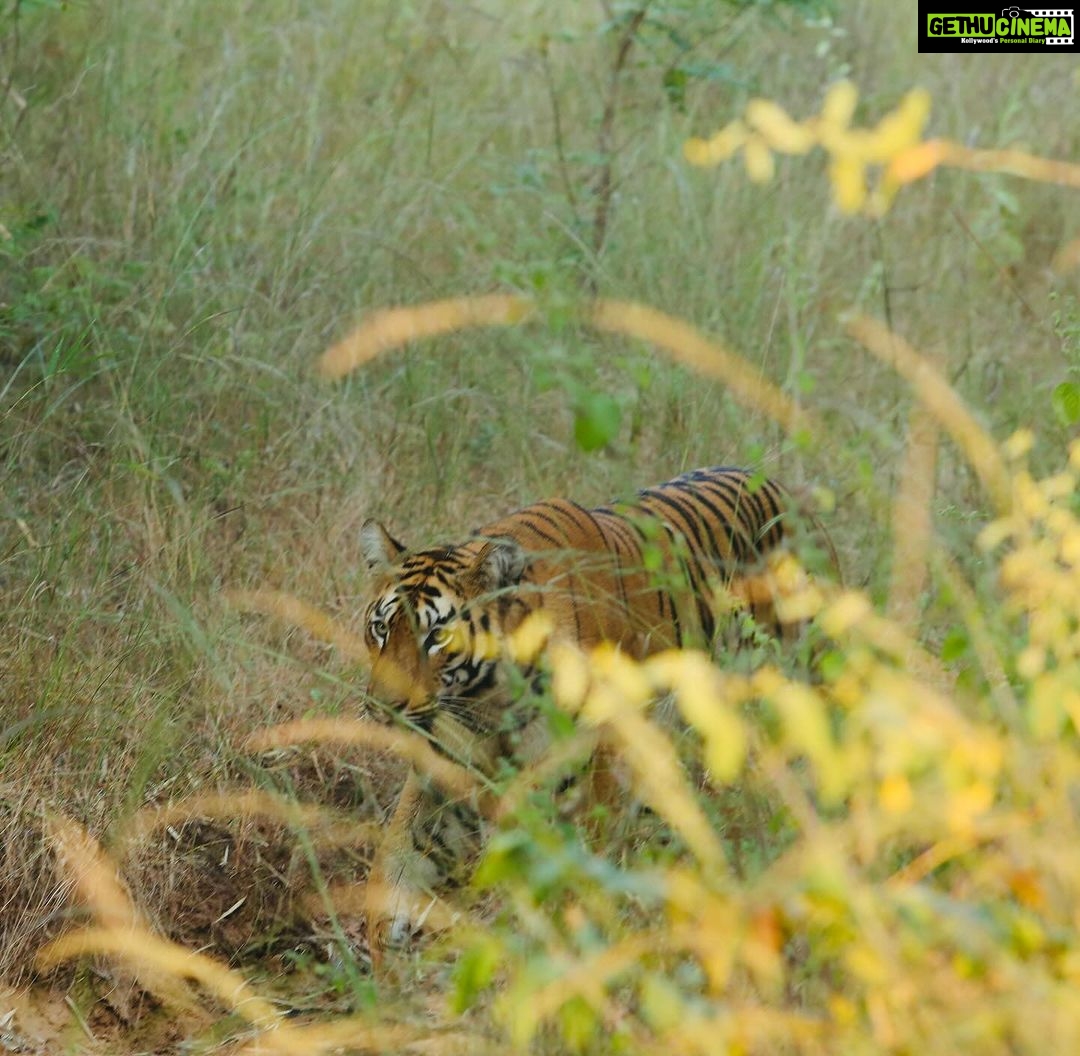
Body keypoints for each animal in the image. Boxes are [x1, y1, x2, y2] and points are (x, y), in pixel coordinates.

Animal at [358, 466, 838, 957]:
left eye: (436, 636)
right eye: (380, 628)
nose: (384, 706)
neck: (488, 705)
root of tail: (784, 488)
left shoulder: (595, 771)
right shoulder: (441, 779)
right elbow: (393, 860)